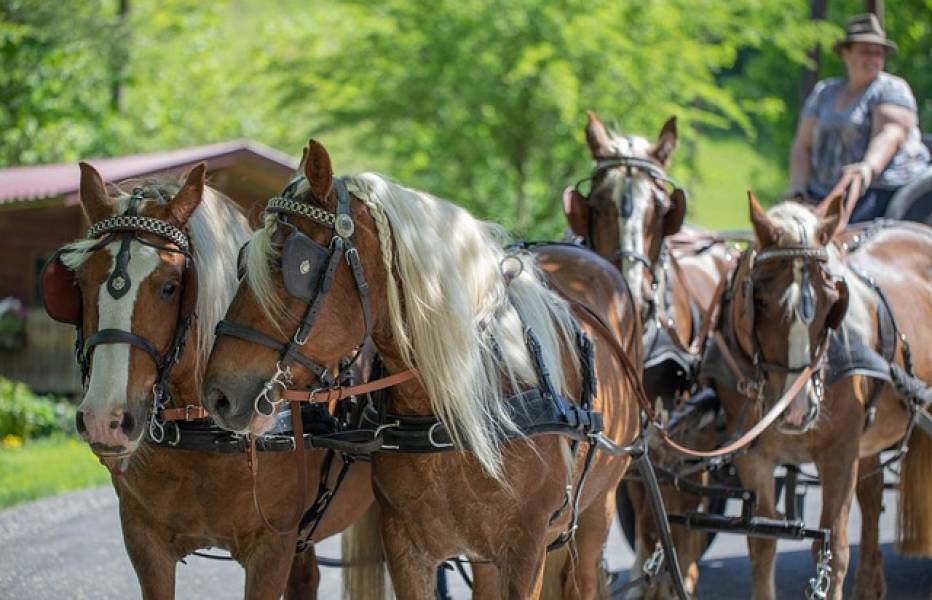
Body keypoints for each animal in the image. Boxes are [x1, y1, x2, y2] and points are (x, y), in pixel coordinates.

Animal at [39, 162, 374, 596]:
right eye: (78, 285)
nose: (105, 420)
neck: (207, 438)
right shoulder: (144, 540)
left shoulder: (272, 548)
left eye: (171, 286)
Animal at [560, 111, 736, 596]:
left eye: (660, 209)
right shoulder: (636, 441)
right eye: (598, 204)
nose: (632, 297)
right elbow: (643, 514)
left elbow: (673, 514)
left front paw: (674, 577)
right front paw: (646, 575)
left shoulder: (674, 436)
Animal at [708, 195, 932, 596]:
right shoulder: (753, 458)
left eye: (832, 303)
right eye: (759, 301)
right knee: (872, 493)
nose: (798, 411)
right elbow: (761, 543)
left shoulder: (840, 453)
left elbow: (833, 550)